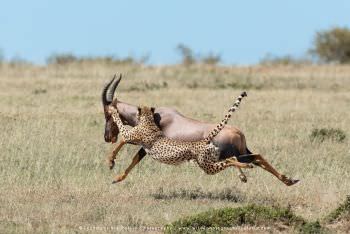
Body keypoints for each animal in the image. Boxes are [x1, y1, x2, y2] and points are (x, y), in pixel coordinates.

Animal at [107, 92, 252, 184]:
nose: (107, 137)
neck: (149, 120)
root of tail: (203, 140)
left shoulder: (130, 135)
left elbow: (121, 130)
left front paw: (113, 110)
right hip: (212, 160)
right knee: (232, 158)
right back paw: (244, 172)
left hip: (207, 166)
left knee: (230, 161)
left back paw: (247, 167)